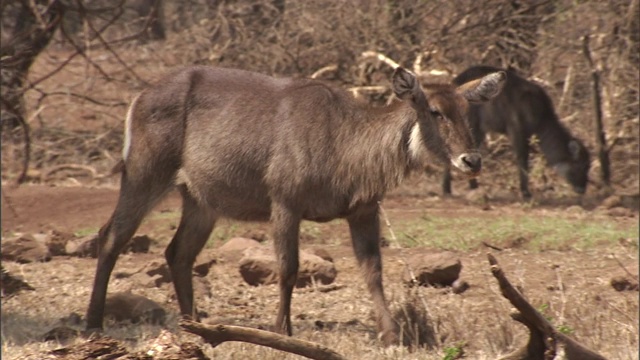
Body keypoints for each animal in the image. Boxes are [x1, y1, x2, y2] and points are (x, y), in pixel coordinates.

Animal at [86, 65, 504, 346]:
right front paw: (282, 332)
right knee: (111, 237)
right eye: (435, 110)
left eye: (467, 110)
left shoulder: (363, 210)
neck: (345, 145)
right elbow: (289, 269)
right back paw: (93, 324)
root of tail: (139, 98)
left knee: (178, 253)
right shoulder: (285, 201)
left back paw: (196, 328)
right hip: (144, 174)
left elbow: (374, 271)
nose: (471, 160)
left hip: (201, 200)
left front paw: (391, 335)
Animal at [440, 65, 592, 200]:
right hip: (473, 126)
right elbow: (522, 160)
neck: (541, 116)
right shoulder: (517, 130)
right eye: (581, 165)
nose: (582, 189)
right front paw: (526, 193)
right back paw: (453, 189)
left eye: (588, 165)